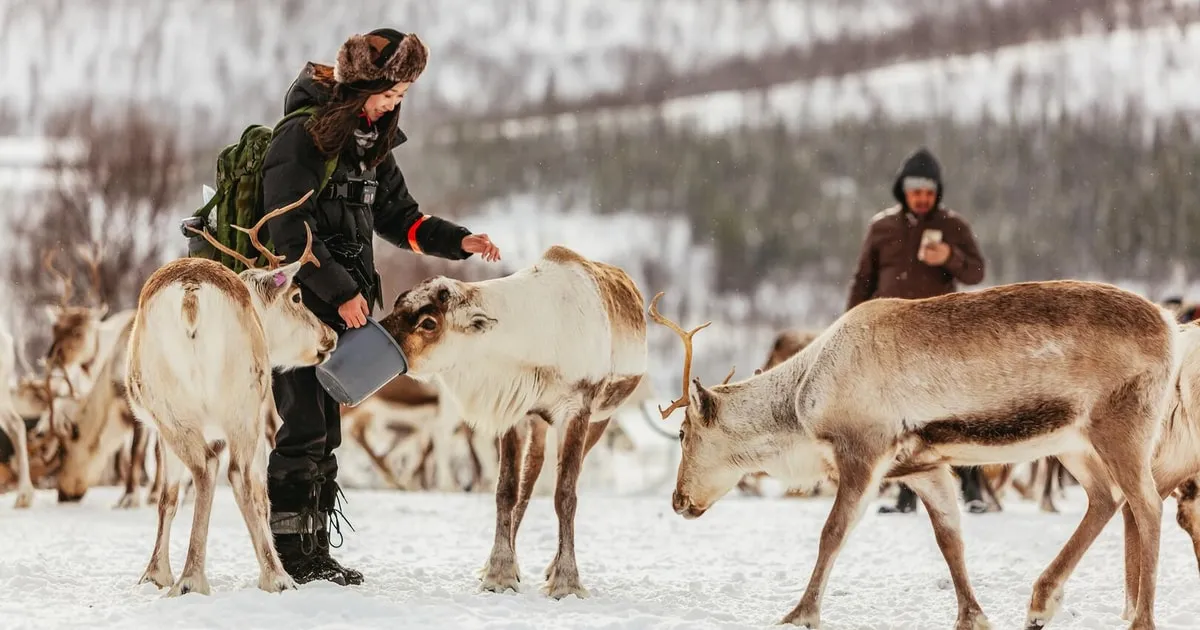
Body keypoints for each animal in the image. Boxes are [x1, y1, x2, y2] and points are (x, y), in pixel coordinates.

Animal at [127, 189, 337, 597]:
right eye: (297, 297)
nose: (329, 336)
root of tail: (190, 296)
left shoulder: (158, 429)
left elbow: (167, 497)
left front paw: (155, 574)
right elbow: (261, 495)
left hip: (170, 405)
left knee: (201, 469)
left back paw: (186, 578)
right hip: (242, 403)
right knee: (237, 476)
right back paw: (269, 576)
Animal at [377, 244, 647, 599]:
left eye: (429, 322)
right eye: (398, 303)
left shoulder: (577, 411)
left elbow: (565, 495)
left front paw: (566, 580)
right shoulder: (514, 411)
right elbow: (506, 489)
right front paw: (499, 572)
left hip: (601, 418)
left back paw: (551, 567)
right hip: (539, 421)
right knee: (531, 475)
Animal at [648, 280, 1181, 630]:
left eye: (683, 432)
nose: (677, 500)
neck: (803, 405)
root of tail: (1171, 325)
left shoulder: (863, 451)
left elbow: (832, 533)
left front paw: (800, 613)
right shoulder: (926, 466)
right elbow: (951, 541)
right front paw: (972, 614)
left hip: (1121, 427)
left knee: (1147, 505)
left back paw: (1141, 618)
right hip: (1073, 443)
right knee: (1105, 499)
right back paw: (1041, 601)